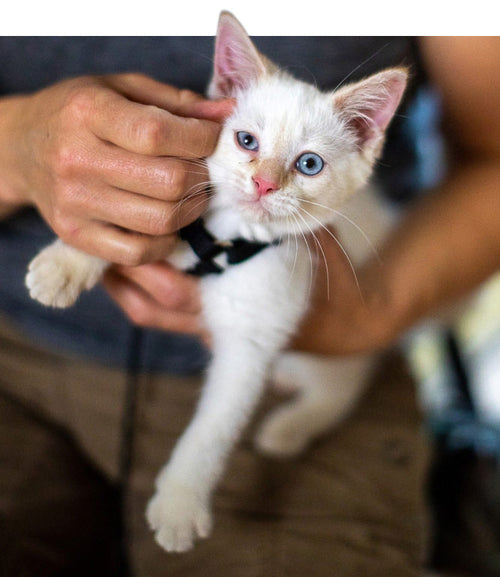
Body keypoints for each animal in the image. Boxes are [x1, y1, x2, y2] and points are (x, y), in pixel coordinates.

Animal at [25, 12, 406, 552]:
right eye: (247, 141)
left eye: (309, 164)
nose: (264, 184)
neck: (227, 238)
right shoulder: (184, 218)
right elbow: (127, 225)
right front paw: (64, 265)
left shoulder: (255, 335)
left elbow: (216, 425)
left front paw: (181, 502)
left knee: (344, 383)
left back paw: (290, 427)